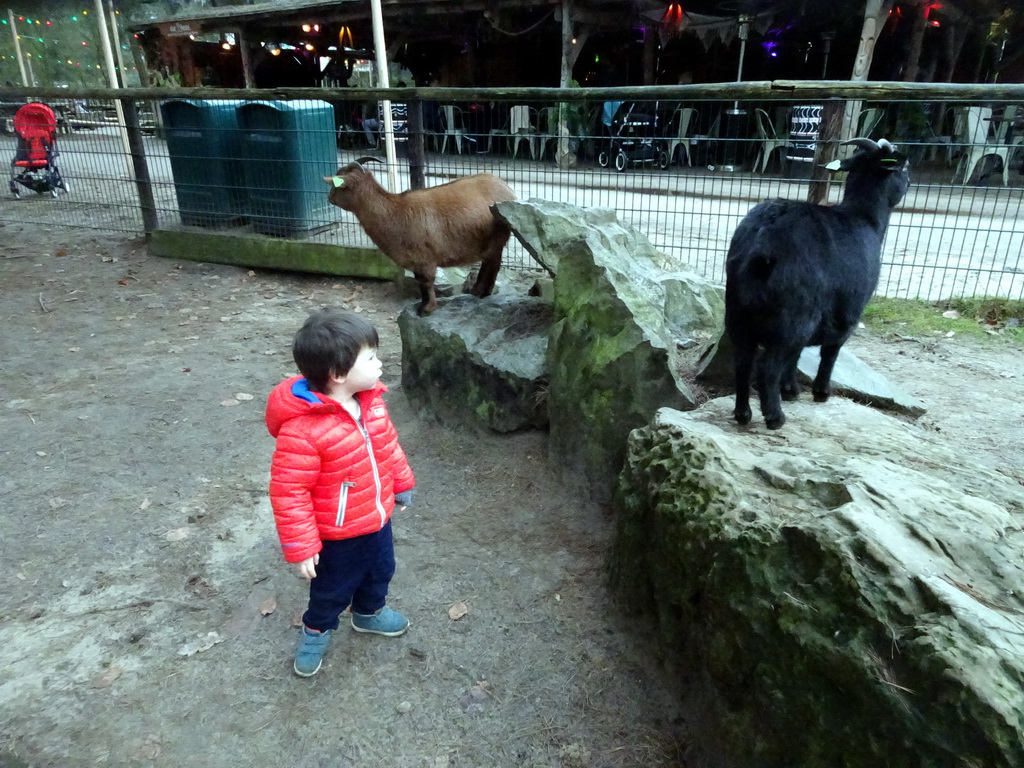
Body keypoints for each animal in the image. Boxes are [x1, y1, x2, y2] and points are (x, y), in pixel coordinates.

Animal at [323, 160, 516, 317]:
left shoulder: (425, 258)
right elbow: (420, 281)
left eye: (337, 184)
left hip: (496, 238)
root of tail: (507, 189)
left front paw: (426, 309)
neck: (394, 212)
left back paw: (483, 292)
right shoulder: (416, 260)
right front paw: (423, 305)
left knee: (493, 264)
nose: (329, 197)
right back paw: (477, 291)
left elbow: (426, 282)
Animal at [724, 136, 909, 430]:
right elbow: (830, 352)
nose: (910, 181)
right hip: (791, 316)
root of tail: (761, 244)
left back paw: (744, 415)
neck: (864, 217)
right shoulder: (848, 312)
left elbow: (797, 355)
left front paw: (790, 390)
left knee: (743, 363)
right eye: (903, 168)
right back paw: (775, 418)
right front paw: (821, 393)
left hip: (739, 314)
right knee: (767, 368)